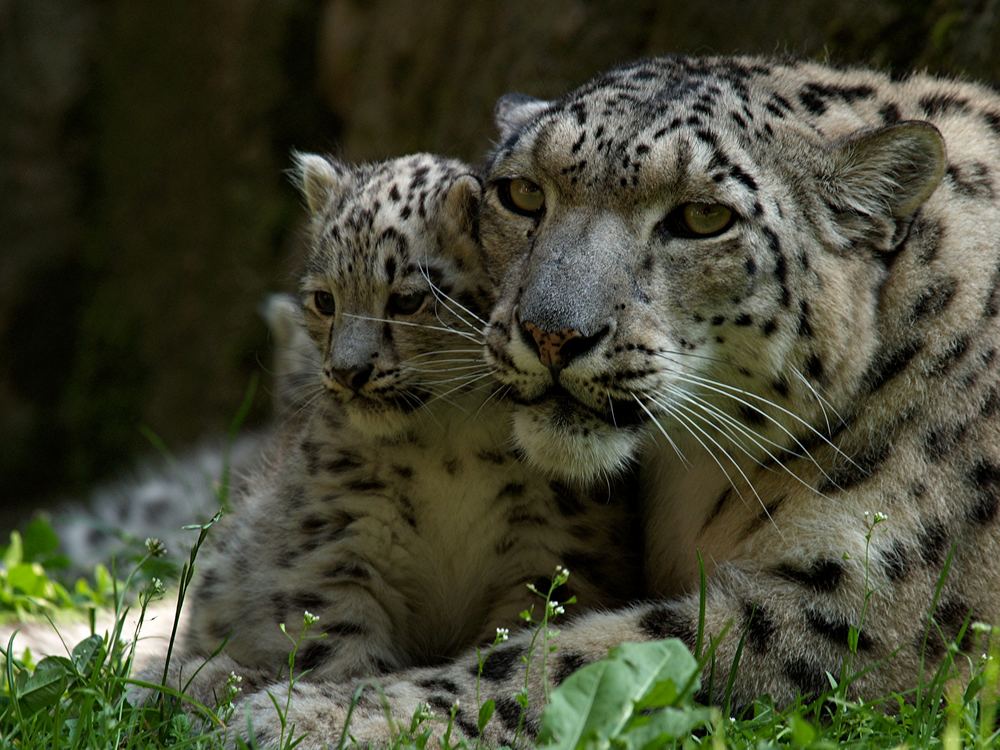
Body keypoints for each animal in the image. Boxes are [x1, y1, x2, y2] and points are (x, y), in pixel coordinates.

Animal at [230, 55, 1000, 748]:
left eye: (703, 216)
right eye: (522, 194)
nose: (552, 333)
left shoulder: (870, 604)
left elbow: (581, 655)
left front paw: (313, 715)